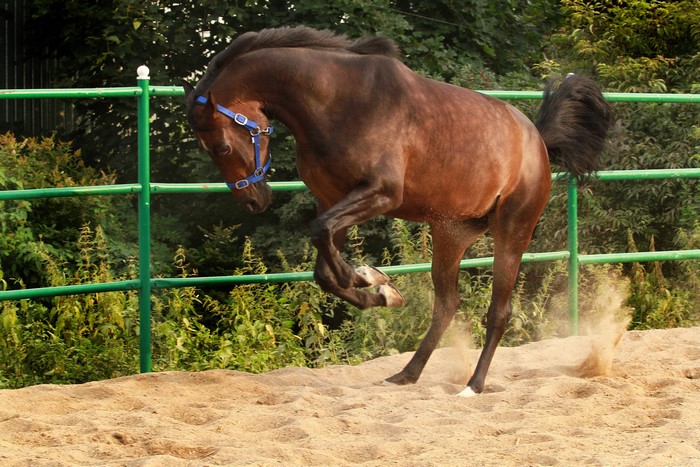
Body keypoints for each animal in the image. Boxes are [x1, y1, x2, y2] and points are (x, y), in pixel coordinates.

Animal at [184, 26, 612, 396]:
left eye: (220, 146)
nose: (255, 201)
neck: (334, 99)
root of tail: (537, 140)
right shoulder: (333, 197)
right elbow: (323, 267)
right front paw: (381, 290)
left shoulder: (381, 193)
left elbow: (321, 235)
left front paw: (368, 279)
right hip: (451, 233)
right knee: (446, 305)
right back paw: (406, 374)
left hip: (513, 230)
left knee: (498, 311)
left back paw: (472, 386)